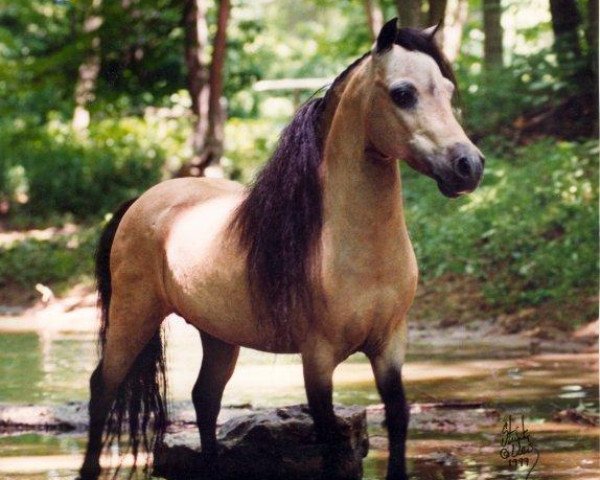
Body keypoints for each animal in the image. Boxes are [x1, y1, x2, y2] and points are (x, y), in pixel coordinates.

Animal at [78, 18, 482, 480]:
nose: (469, 166)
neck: (353, 250)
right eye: (403, 93)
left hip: (218, 335)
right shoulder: (318, 358)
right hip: (133, 317)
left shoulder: (389, 345)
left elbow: (397, 419)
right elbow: (328, 436)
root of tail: (142, 201)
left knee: (205, 398)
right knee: (103, 388)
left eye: (448, 91)